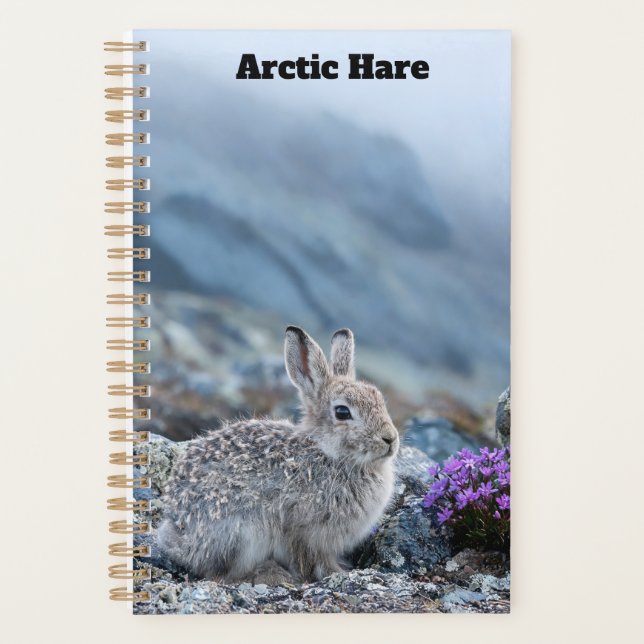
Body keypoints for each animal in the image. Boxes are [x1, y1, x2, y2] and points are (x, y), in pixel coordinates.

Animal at [157, 325, 399, 584]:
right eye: (343, 412)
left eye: (379, 398)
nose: (390, 439)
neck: (329, 452)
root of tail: (180, 537)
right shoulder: (305, 530)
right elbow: (311, 560)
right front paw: (336, 573)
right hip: (243, 532)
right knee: (222, 574)